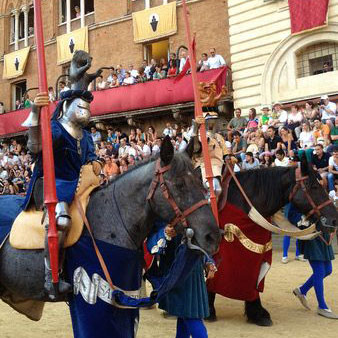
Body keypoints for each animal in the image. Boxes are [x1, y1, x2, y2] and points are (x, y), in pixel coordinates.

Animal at [207, 158, 336, 328]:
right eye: (314, 186)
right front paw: (208, 310)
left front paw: (258, 313)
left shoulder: (257, 248)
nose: (334, 219)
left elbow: (253, 279)